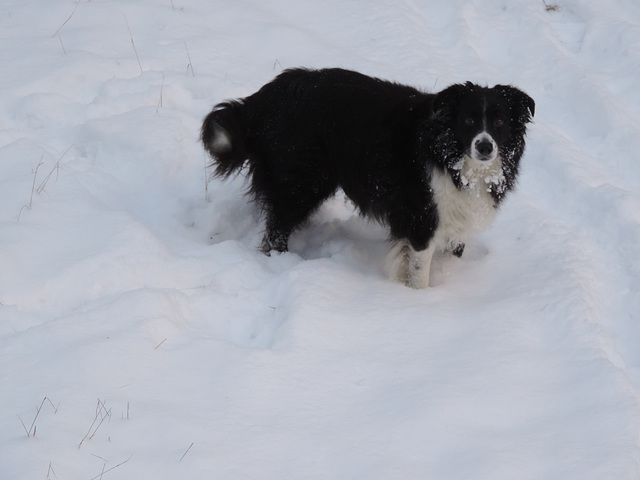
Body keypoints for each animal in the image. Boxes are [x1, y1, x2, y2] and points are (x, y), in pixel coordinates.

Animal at [201, 66, 536, 286]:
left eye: (500, 122)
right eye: (467, 120)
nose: (484, 146)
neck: (451, 156)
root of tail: (264, 96)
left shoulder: (459, 211)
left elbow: (455, 248)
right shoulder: (422, 214)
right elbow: (419, 268)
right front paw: (420, 301)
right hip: (302, 180)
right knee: (276, 228)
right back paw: (283, 262)